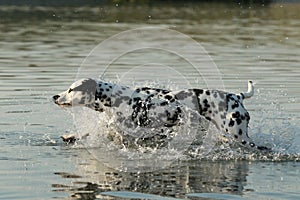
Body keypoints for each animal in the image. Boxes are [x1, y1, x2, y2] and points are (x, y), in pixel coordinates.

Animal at [52, 78, 270, 150]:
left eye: (71, 89)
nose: (55, 96)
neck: (116, 98)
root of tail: (237, 96)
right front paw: (70, 136)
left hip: (239, 135)